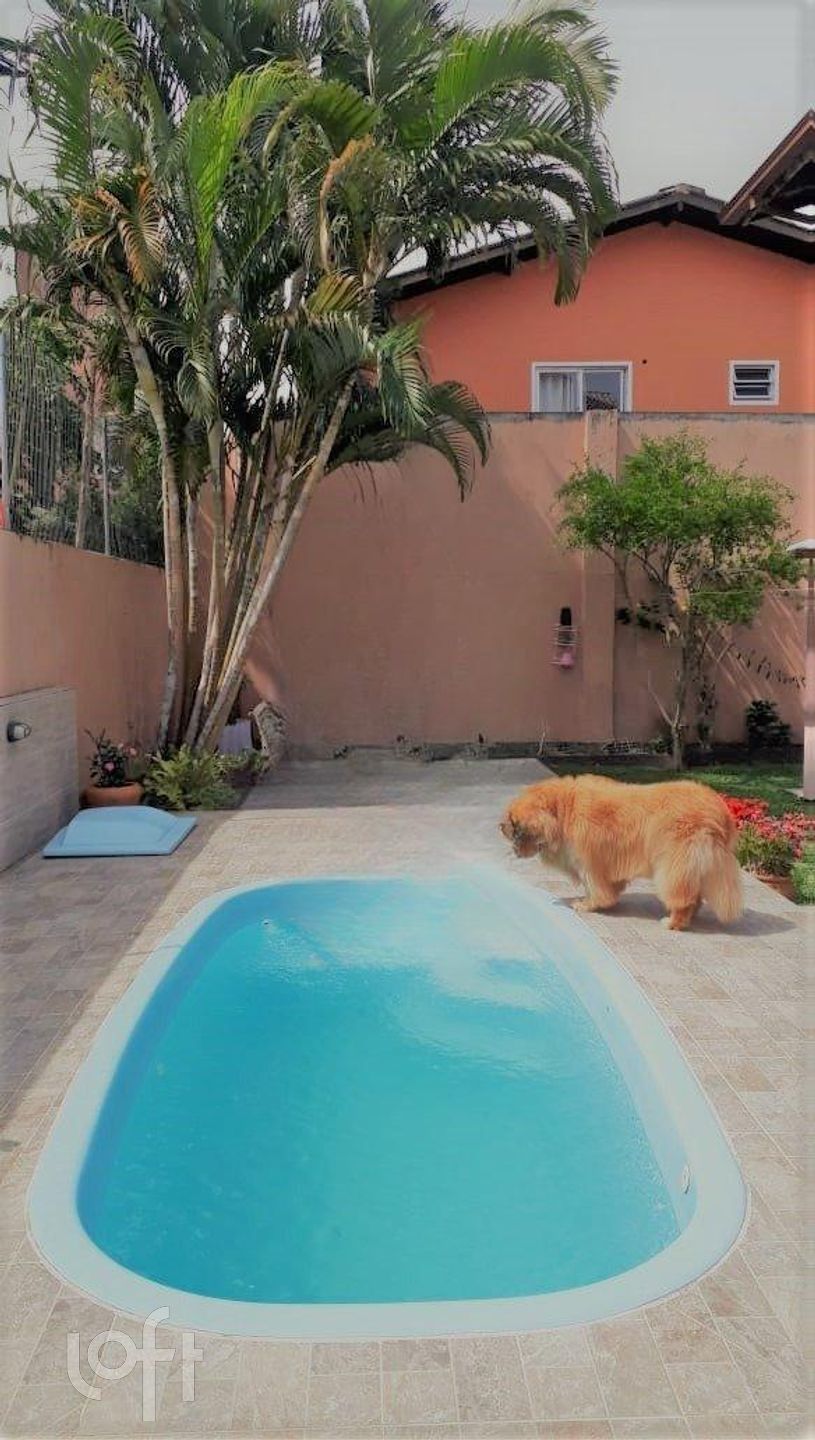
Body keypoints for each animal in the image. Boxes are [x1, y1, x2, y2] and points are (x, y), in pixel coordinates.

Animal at [500, 774, 743, 930]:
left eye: (513, 822)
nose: (500, 826)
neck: (563, 811)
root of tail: (719, 811)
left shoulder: (590, 862)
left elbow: (595, 887)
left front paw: (587, 904)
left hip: (674, 864)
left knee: (682, 897)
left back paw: (674, 922)